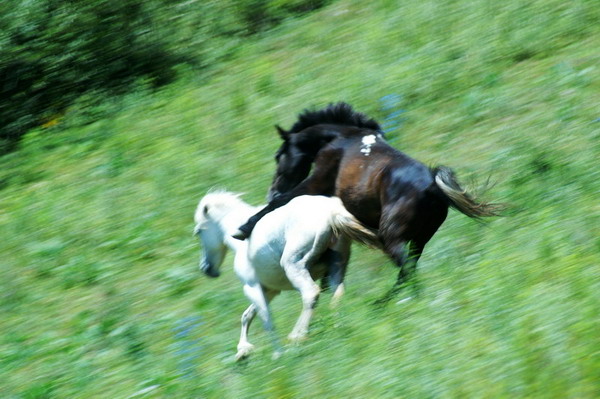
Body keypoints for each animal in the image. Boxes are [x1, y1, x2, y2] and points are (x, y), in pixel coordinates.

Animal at [193, 192, 380, 360]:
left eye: (199, 232)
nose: (206, 268)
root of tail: (332, 213)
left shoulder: (251, 286)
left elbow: (266, 320)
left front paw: (277, 355)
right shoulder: (269, 290)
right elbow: (247, 316)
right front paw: (243, 351)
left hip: (294, 266)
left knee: (311, 294)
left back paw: (297, 337)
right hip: (336, 267)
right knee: (338, 293)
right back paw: (336, 326)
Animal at [234, 103, 502, 300]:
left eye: (279, 155)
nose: (272, 190)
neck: (341, 138)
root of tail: (434, 186)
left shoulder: (317, 182)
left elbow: (281, 203)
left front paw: (243, 228)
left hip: (393, 238)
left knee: (406, 270)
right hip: (419, 240)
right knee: (408, 269)